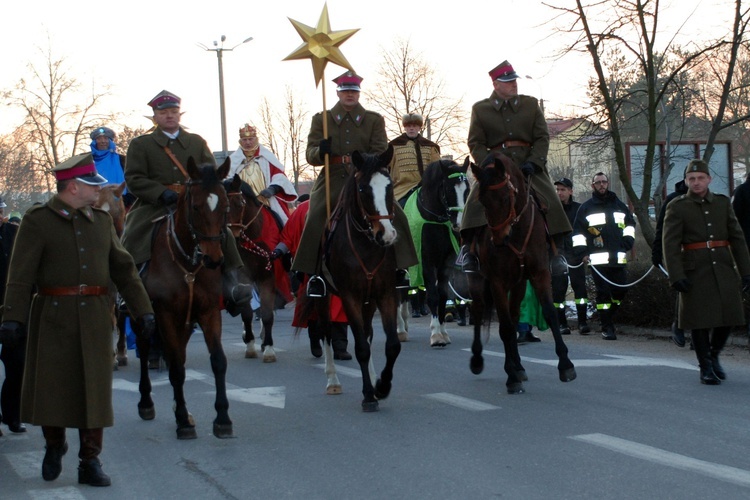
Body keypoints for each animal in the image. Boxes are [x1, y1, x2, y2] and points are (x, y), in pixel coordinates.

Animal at [135, 158, 234, 440]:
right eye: (196, 206)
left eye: (225, 205)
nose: (214, 259)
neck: (187, 263)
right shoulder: (165, 314)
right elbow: (178, 368)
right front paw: (182, 421)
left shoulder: (209, 311)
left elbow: (218, 361)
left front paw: (222, 417)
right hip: (141, 316)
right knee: (145, 351)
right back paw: (146, 402)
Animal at [226, 176, 282, 364]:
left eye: (239, 203)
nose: (232, 234)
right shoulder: (244, 278)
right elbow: (247, 314)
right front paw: (250, 346)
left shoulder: (268, 277)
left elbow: (267, 314)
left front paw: (269, 349)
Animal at [312, 146, 406, 412]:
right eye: (363, 189)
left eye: (389, 186)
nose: (387, 235)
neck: (367, 245)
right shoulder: (349, 297)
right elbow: (361, 347)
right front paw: (368, 396)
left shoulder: (385, 294)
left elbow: (391, 345)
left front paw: (381, 386)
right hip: (322, 297)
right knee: (325, 332)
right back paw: (333, 380)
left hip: (369, 301)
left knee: (367, 332)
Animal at [406, 158, 470, 346]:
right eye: (448, 189)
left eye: (467, 189)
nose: (459, 224)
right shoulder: (426, 262)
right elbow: (433, 296)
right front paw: (435, 335)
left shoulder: (445, 263)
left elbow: (442, 295)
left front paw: (443, 332)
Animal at [468, 152, 580, 394]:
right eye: (482, 201)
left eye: (504, 198)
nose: (499, 240)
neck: (516, 231)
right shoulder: (497, 282)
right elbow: (505, 327)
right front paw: (511, 377)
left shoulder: (540, 274)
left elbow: (550, 314)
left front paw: (565, 365)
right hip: (479, 282)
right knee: (480, 311)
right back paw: (479, 360)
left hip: (519, 284)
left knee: (514, 316)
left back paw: (518, 366)